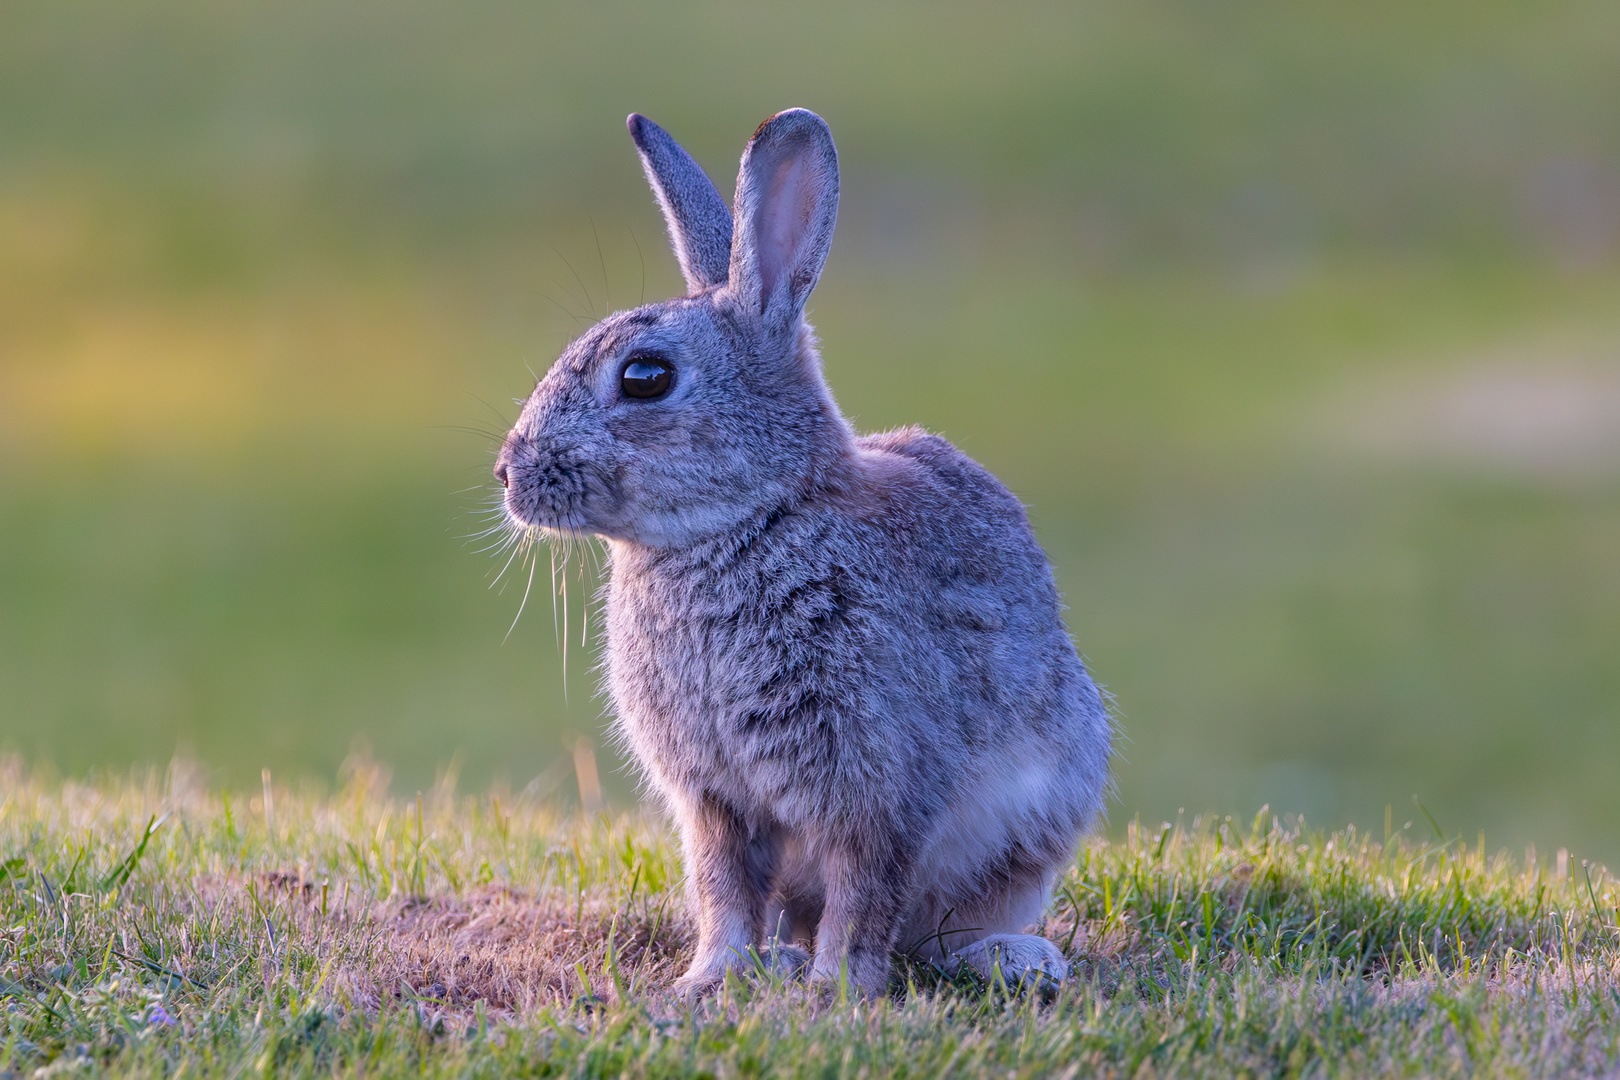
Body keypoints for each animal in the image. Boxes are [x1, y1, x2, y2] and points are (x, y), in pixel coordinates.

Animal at [495, 107, 1114, 997]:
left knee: (939, 931)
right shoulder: (714, 800)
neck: (748, 520)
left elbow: (864, 891)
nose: (509, 473)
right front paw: (710, 979)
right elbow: (724, 889)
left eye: (646, 377)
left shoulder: (878, 783)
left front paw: (838, 991)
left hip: (1028, 833)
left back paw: (1009, 959)